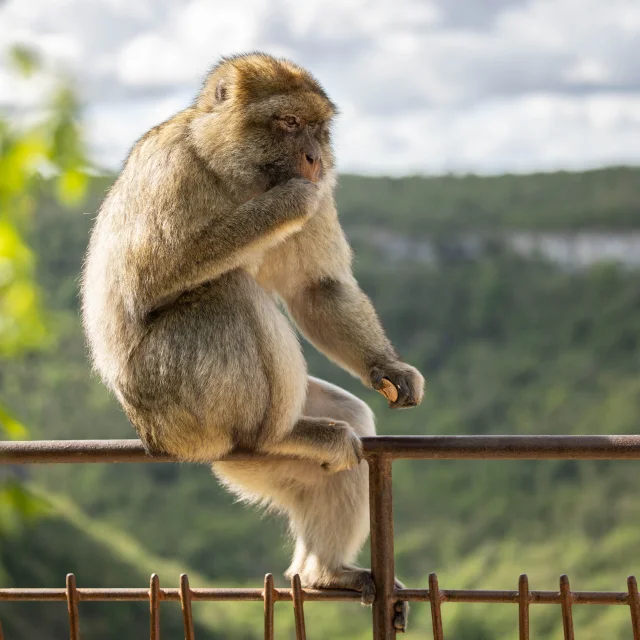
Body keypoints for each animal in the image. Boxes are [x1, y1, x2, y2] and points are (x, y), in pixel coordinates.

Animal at [81, 51, 424, 632]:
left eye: (317, 127)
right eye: (288, 122)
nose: (313, 157)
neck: (230, 171)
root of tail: (156, 436)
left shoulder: (320, 194)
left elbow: (316, 287)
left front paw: (388, 367)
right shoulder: (173, 171)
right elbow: (149, 277)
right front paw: (284, 204)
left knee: (348, 423)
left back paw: (322, 571)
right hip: (178, 401)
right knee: (230, 291)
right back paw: (273, 434)